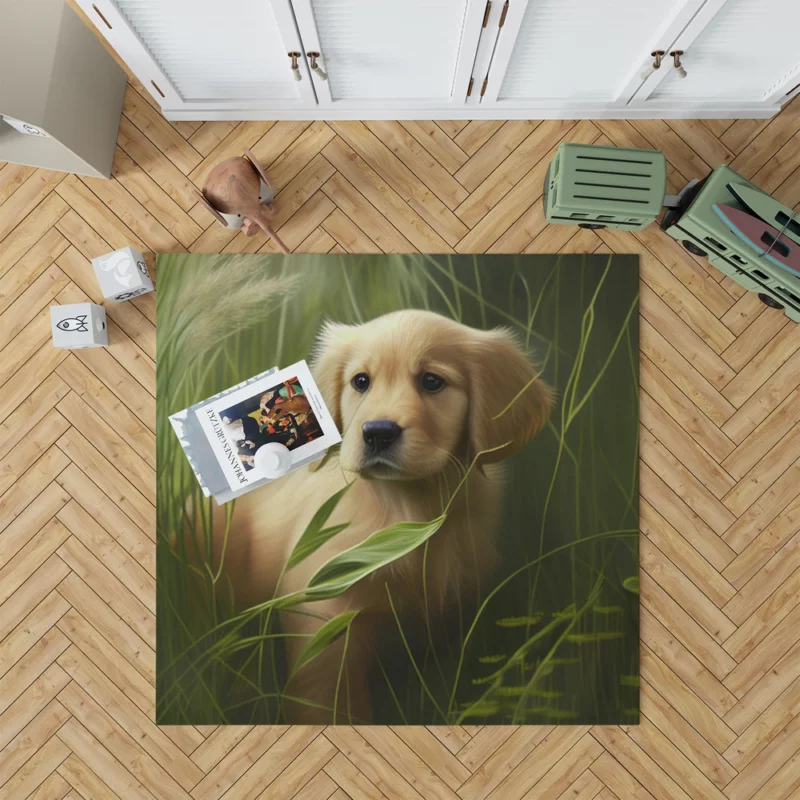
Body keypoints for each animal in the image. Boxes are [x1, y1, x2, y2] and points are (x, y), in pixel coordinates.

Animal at [209, 310, 552, 720]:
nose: (377, 433)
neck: (407, 513)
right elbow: (329, 699)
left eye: (432, 381)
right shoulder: (326, 618)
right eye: (361, 381)